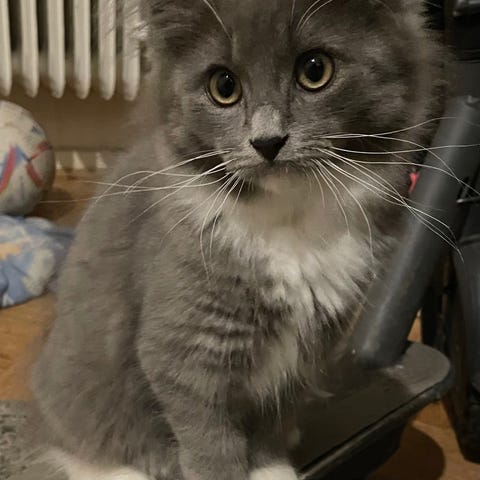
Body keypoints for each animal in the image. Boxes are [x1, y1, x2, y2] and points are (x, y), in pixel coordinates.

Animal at [30, 1, 444, 479]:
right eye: (223, 86)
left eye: (315, 70)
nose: (267, 141)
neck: (289, 224)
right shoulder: (185, 355)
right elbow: (212, 446)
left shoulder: (299, 360)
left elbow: (268, 427)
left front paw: (274, 469)